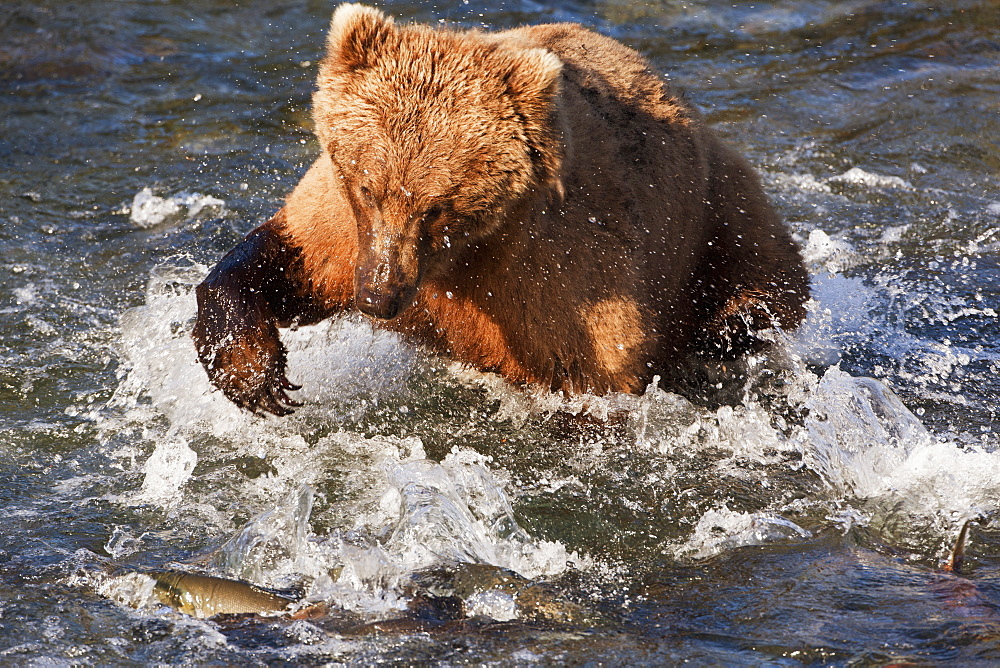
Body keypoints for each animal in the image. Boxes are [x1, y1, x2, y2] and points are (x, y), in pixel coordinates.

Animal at [191, 2, 808, 414]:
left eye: (438, 207)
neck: (459, 259)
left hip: (717, 210)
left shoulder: (562, 272)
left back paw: (723, 326)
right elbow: (286, 260)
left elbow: (596, 373)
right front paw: (256, 375)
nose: (378, 298)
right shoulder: (346, 233)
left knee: (768, 281)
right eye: (367, 185)